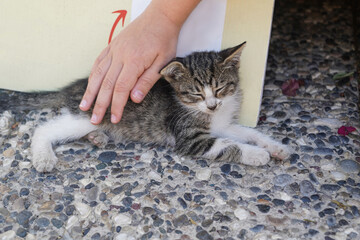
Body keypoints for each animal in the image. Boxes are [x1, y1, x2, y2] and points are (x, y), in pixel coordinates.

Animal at [14, 42, 292, 172]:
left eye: (221, 88)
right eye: (195, 93)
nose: (212, 106)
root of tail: (80, 85)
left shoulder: (222, 123)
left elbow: (247, 133)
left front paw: (275, 147)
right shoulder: (189, 138)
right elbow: (229, 145)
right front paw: (257, 155)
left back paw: (97, 137)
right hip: (86, 114)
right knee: (45, 128)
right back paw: (44, 156)